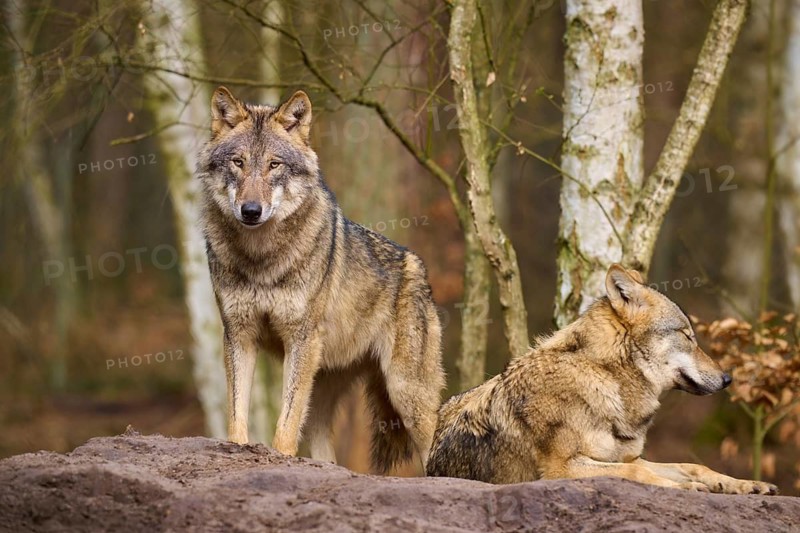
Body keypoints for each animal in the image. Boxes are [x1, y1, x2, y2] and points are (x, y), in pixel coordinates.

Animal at [197, 86, 445, 472]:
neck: (261, 258)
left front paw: (279, 459)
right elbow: (237, 414)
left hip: (407, 394)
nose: (250, 211)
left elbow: (285, 426)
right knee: (325, 451)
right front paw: (235, 449)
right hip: (323, 391)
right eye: (238, 162)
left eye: (274, 165)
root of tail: (417, 265)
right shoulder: (239, 334)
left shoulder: (299, 338)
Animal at [427, 264, 778, 494]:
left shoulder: (629, 455)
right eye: (687, 335)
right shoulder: (562, 468)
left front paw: (744, 484)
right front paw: (690, 488)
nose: (728, 378)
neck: (607, 379)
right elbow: (636, 471)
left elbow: (692, 466)